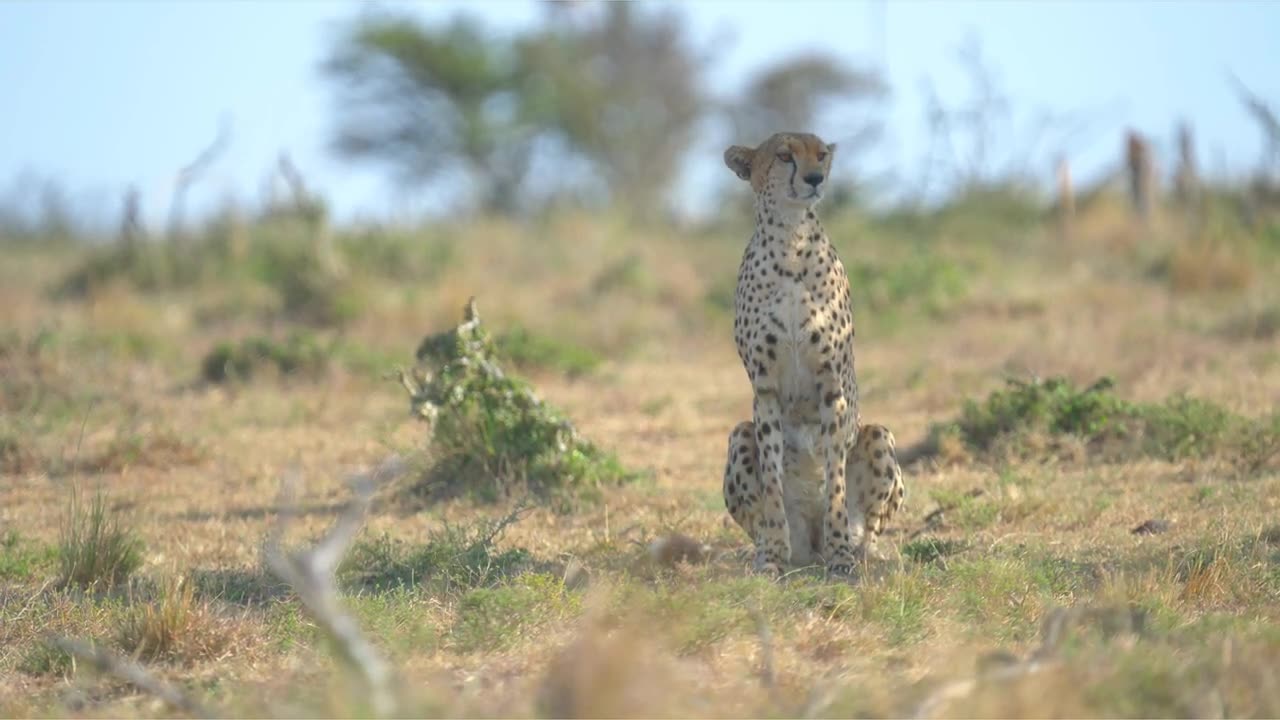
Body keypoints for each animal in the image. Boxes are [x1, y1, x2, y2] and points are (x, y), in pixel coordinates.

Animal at [716, 131, 906, 573]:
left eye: (820, 155)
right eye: (785, 156)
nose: (815, 178)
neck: (790, 240)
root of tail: (810, 547)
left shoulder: (831, 387)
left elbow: (834, 482)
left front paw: (840, 556)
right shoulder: (765, 388)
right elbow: (771, 479)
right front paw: (772, 555)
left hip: (879, 434)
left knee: (870, 526)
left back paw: (861, 553)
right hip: (739, 435)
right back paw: (774, 550)